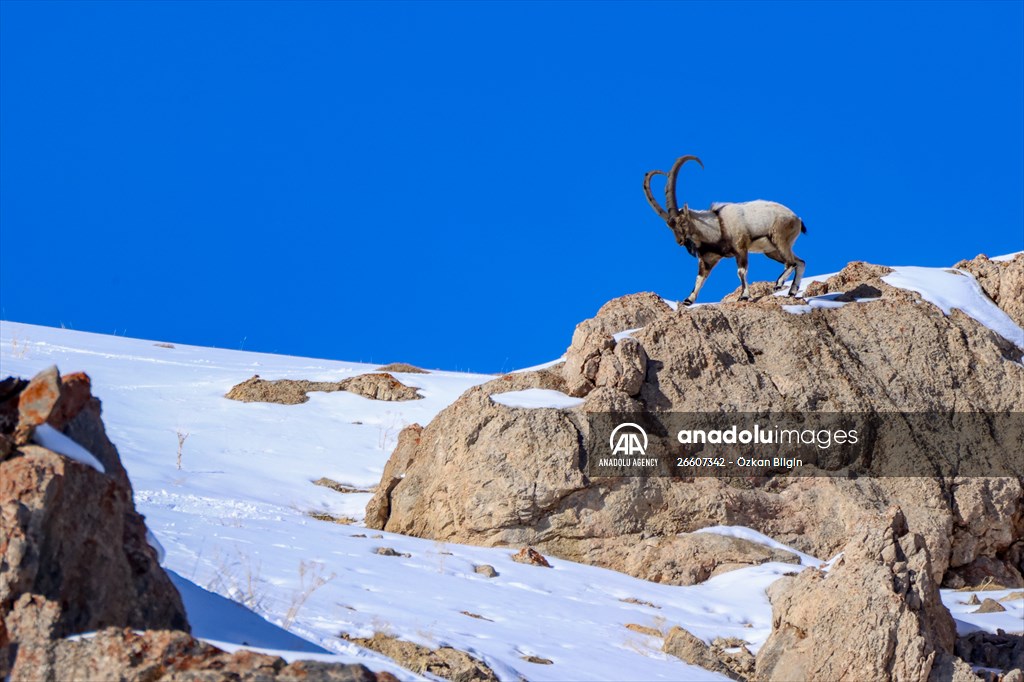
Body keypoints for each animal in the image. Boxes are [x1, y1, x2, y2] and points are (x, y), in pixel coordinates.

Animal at [644, 155, 807, 305]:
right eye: (670, 226)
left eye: (682, 221)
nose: (679, 241)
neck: (717, 228)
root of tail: (797, 219)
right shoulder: (708, 259)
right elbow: (700, 278)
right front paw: (688, 300)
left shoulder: (740, 248)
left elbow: (741, 271)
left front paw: (744, 296)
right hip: (771, 251)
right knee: (800, 262)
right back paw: (792, 291)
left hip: (779, 238)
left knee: (791, 262)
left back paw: (778, 284)